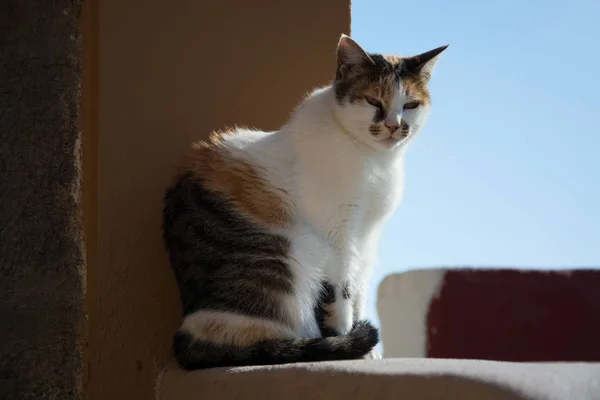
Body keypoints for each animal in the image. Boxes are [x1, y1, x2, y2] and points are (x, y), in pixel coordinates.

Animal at [163, 34, 446, 368]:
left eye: (411, 104)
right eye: (373, 102)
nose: (394, 125)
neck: (374, 161)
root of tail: (186, 337)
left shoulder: (366, 238)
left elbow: (360, 289)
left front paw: (368, 350)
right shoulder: (338, 235)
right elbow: (343, 294)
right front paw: (349, 343)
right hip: (289, 257)